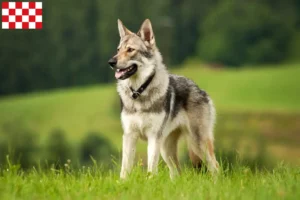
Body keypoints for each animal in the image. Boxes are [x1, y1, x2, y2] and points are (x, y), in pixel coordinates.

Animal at [108, 18, 218, 178]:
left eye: (130, 50)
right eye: (118, 50)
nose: (111, 62)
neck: (139, 92)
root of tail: (200, 89)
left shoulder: (153, 137)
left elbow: (151, 169)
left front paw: (149, 181)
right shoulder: (129, 135)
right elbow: (125, 168)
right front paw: (122, 182)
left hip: (197, 144)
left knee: (215, 167)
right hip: (167, 150)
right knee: (177, 173)